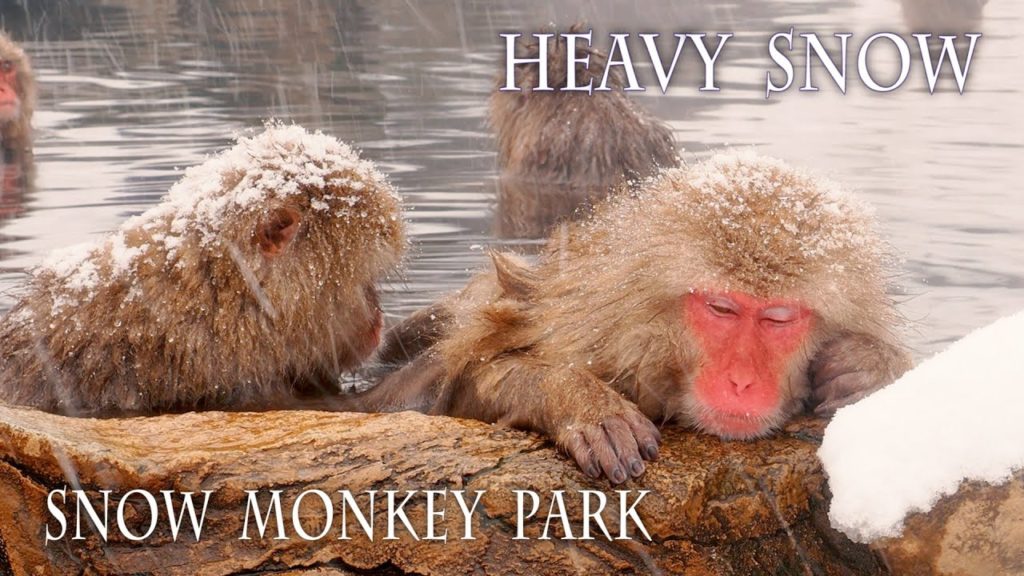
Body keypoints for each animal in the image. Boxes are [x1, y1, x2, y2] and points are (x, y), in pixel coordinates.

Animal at [356, 151, 912, 484]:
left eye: (777, 318)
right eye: (721, 309)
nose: (741, 381)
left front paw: (867, 366)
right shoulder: (597, 331)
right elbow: (472, 372)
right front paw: (579, 400)